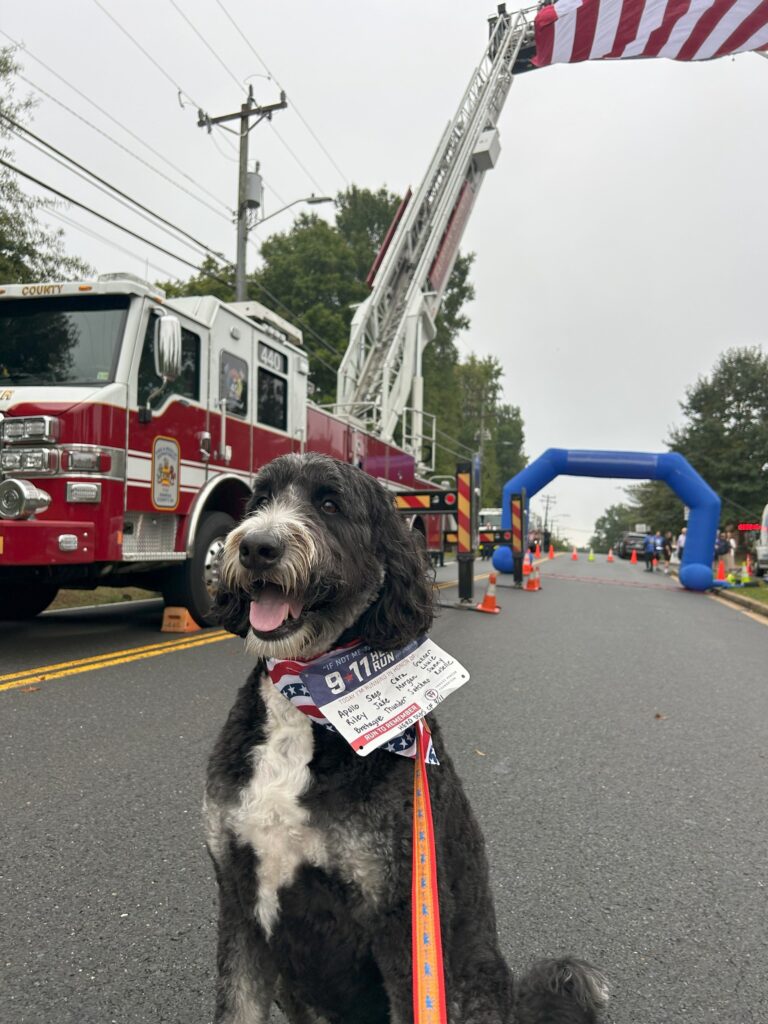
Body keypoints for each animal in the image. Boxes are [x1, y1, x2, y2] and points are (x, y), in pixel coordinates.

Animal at [207, 456, 610, 1024]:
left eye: (329, 504)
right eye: (259, 501)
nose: (256, 546)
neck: (307, 700)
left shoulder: (401, 919)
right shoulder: (239, 895)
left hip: (469, 984)